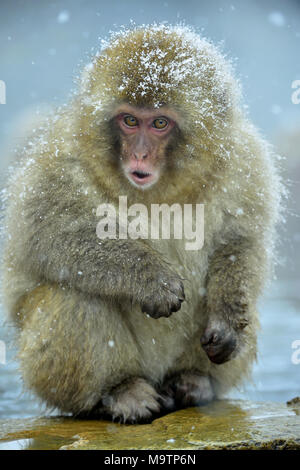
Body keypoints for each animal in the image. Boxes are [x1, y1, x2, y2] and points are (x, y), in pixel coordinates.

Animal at [1, 24, 282, 422]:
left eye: (160, 122)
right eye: (130, 120)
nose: (140, 154)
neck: (159, 191)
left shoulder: (245, 159)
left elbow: (241, 241)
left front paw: (226, 320)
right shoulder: (63, 155)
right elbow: (47, 232)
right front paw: (152, 280)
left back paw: (194, 381)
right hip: (45, 373)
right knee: (73, 295)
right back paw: (119, 391)